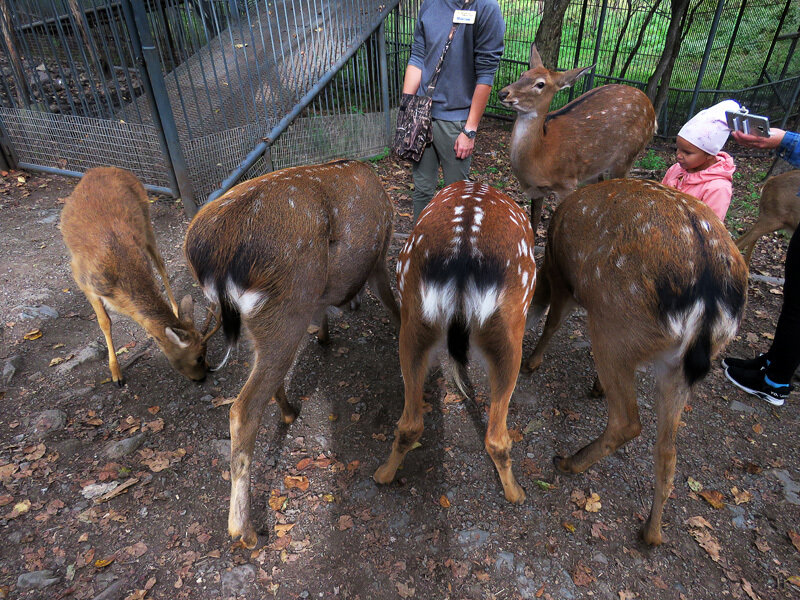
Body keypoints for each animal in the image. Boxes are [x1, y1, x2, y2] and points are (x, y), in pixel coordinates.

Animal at [61, 166, 211, 386]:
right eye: (198, 357)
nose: (203, 376)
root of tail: (104, 168)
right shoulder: (83, 281)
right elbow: (104, 322)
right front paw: (116, 374)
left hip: (146, 218)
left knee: (161, 264)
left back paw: (176, 308)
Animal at [185, 159, 404, 548]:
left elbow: (323, 315)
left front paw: (325, 335)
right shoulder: (379, 257)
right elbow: (391, 303)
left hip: (261, 320)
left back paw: (290, 410)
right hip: (286, 305)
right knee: (243, 408)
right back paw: (245, 532)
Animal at [370, 179, 536, 506]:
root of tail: (464, 253)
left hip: (414, 314)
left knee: (410, 423)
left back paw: (382, 474)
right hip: (513, 321)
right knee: (497, 436)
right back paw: (517, 494)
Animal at [500, 44, 656, 234]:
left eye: (540, 84)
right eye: (523, 73)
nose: (503, 93)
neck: (542, 158)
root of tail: (653, 112)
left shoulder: (567, 182)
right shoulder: (536, 190)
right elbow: (533, 222)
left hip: (627, 156)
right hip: (595, 168)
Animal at [524, 177, 752, 544]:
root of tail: (710, 297)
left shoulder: (564, 282)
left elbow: (553, 322)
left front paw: (531, 362)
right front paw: (595, 385)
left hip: (614, 324)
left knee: (628, 421)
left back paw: (568, 461)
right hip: (679, 367)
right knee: (668, 450)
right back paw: (651, 533)